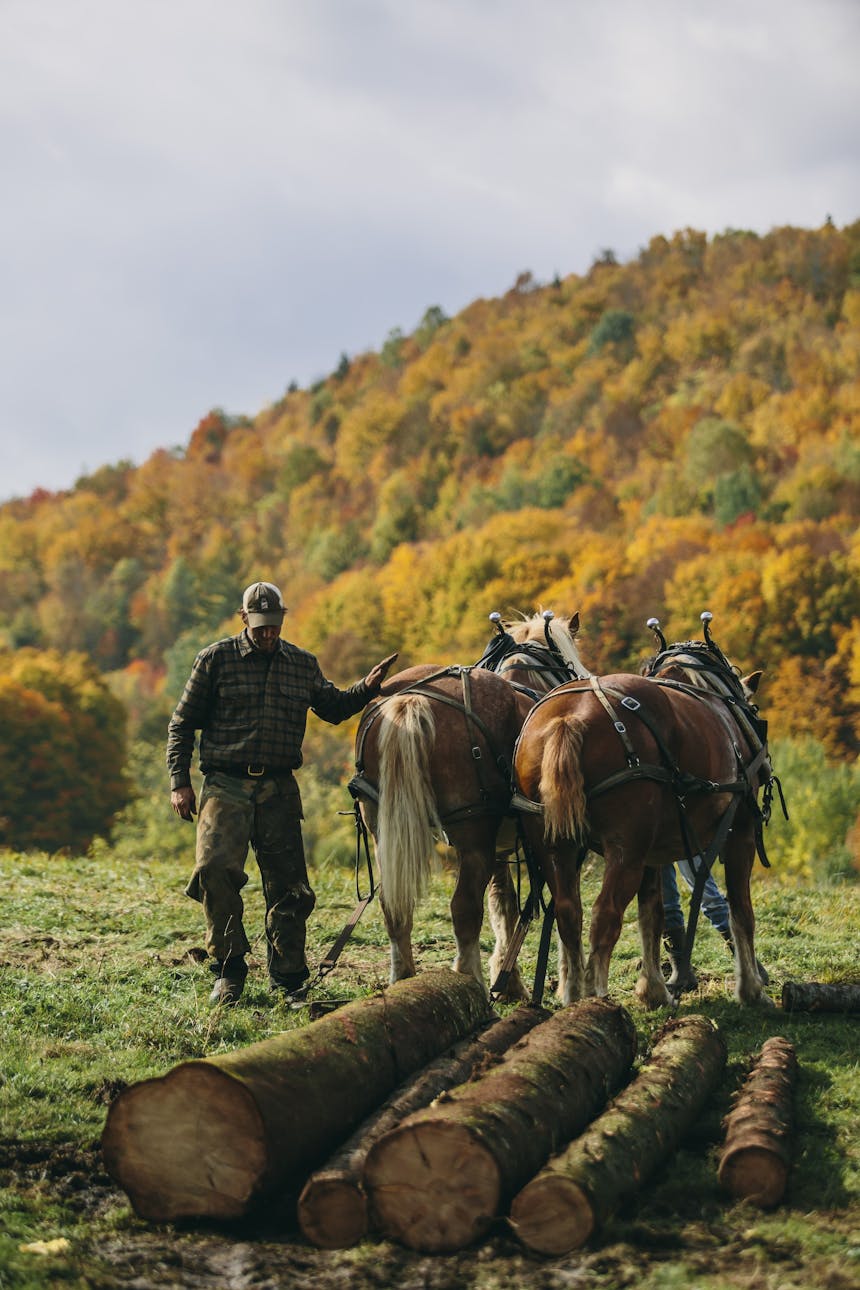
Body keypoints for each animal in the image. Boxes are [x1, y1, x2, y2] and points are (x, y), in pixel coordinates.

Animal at [350, 614, 585, 995]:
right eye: (570, 659)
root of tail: (409, 702)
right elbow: (558, 907)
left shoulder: (501, 845)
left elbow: (503, 905)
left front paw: (509, 980)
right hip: (474, 837)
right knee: (464, 908)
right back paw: (467, 978)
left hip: (382, 828)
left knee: (395, 905)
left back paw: (403, 977)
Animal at [508, 614, 778, 1006]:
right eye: (754, 709)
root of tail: (568, 719)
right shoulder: (738, 831)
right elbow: (741, 909)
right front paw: (751, 990)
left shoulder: (653, 851)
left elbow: (652, 912)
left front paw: (653, 989)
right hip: (626, 849)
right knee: (604, 916)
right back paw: (595, 997)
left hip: (553, 842)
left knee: (568, 912)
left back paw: (573, 995)